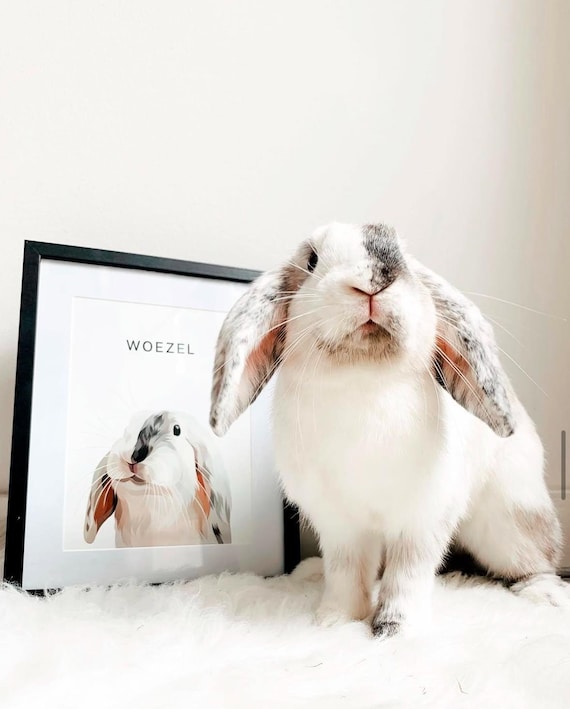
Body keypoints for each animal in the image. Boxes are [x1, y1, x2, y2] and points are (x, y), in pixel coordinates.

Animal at [209, 222, 566, 639]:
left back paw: (547, 596)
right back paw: (309, 572)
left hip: (511, 521)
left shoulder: (422, 519)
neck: (363, 377)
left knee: (537, 559)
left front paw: (396, 628)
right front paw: (335, 620)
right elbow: (346, 573)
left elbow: (408, 574)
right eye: (312, 259)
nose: (374, 283)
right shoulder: (340, 526)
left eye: (406, 259)